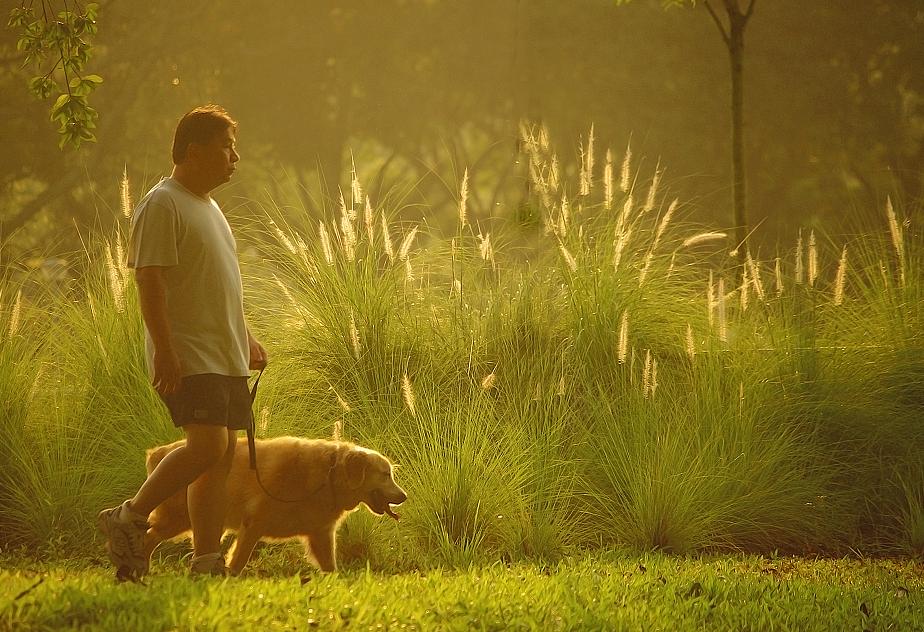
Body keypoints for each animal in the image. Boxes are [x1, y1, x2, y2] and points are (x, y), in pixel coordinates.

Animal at [142, 436, 408, 576]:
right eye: (385, 474)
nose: (405, 496)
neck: (328, 477)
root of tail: (162, 452)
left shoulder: (320, 534)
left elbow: (331, 568)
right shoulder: (253, 524)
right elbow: (238, 560)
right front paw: (230, 580)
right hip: (177, 518)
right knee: (148, 536)